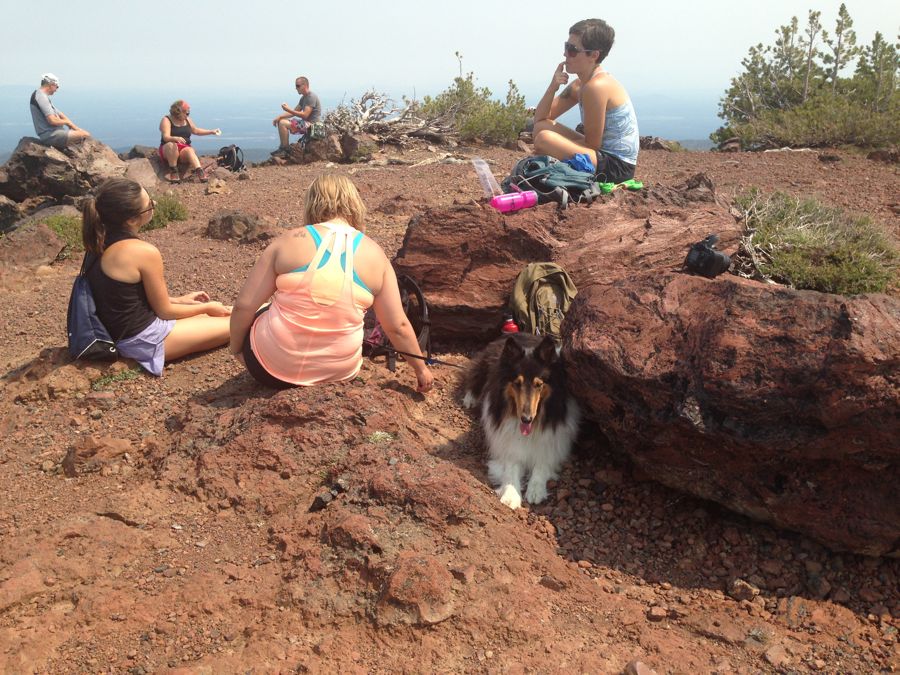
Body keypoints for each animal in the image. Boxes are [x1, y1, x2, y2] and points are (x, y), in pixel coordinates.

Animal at [460, 336, 580, 510]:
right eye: (517, 383)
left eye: (539, 384)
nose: (526, 419)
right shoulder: (508, 446)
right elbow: (511, 468)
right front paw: (511, 495)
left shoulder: (552, 444)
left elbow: (542, 463)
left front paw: (535, 490)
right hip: (485, 364)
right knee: (474, 378)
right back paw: (470, 399)